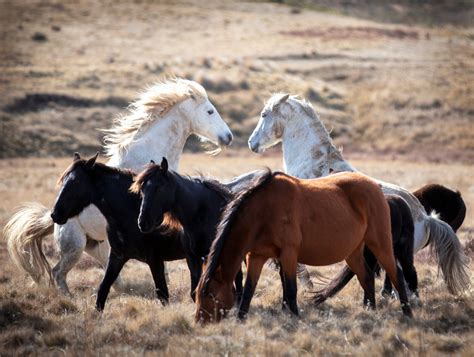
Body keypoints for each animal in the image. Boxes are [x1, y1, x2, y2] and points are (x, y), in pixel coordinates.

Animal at [4, 78, 233, 294]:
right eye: (210, 111)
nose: (228, 137)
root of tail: (52, 219)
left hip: (97, 246)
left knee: (109, 276)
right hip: (74, 248)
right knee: (57, 272)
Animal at [49, 154, 187, 310]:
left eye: (76, 182)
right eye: (63, 181)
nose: (55, 214)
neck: (132, 212)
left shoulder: (155, 260)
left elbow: (163, 294)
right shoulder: (117, 257)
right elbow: (103, 289)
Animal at [131, 157, 243, 302]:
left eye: (159, 188)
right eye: (143, 189)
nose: (143, 222)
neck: (200, 215)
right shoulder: (192, 257)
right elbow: (195, 291)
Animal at [194, 170, 412, 322]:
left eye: (210, 294)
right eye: (197, 293)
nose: (200, 322)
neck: (264, 211)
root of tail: (375, 186)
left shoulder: (289, 254)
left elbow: (291, 288)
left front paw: (294, 317)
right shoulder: (256, 256)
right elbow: (249, 290)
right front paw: (241, 319)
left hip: (381, 244)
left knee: (397, 275)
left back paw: (407, 313)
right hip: (353, 252)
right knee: (366, 277)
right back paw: (370, 310)